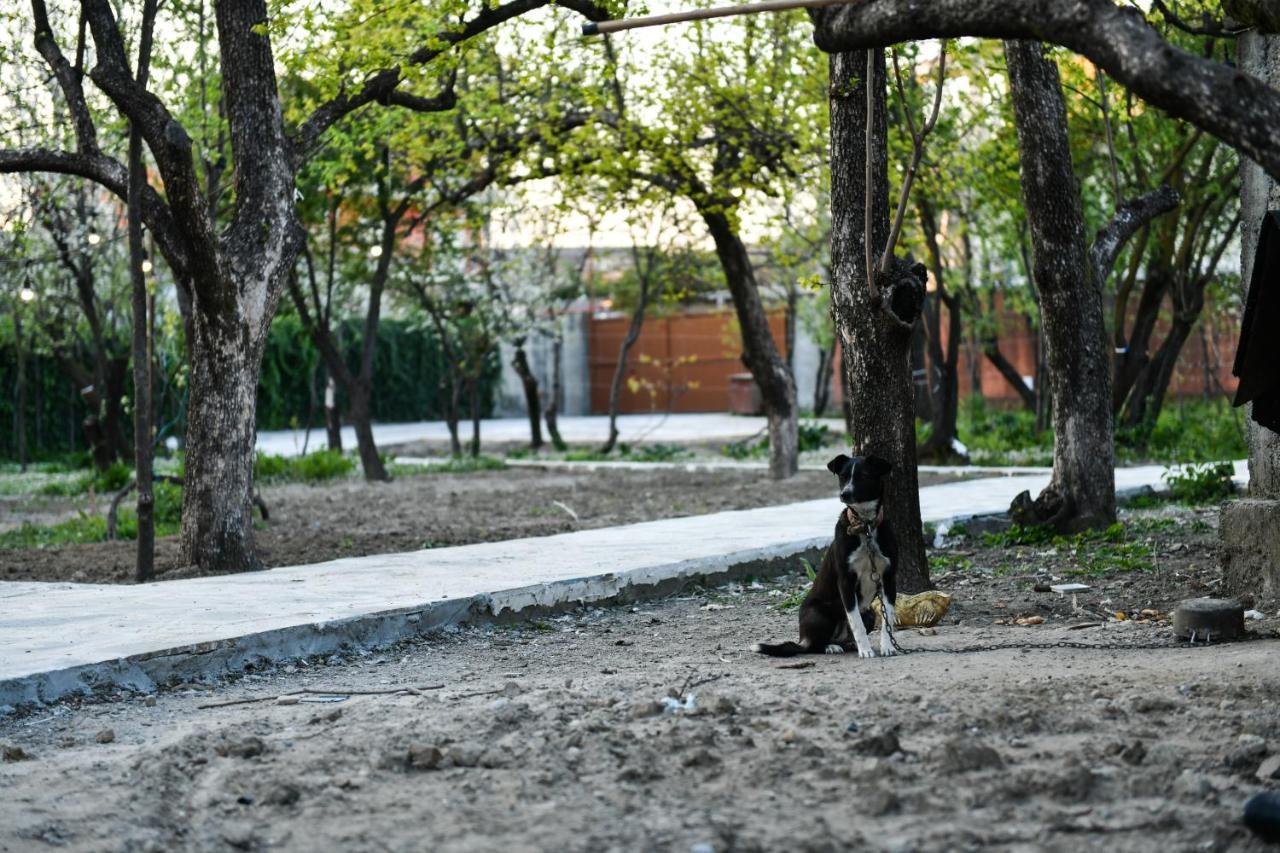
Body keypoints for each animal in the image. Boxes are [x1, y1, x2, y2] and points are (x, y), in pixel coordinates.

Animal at [747, 450, 901, 655]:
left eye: (864, 475)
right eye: (843, 476)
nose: (845, 494)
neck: (865, 527)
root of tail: (802, 638)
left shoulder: (888, 578)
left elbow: (888, 619)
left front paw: (888, 647)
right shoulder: (846, 581)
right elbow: (856, 622)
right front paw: (865, 650)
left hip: (869, 611)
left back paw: (848, 644)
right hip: (819, 612)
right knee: (813, 646)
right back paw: (830, 646)